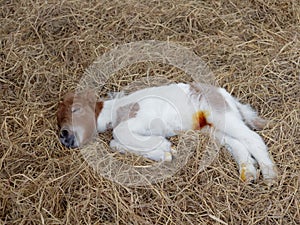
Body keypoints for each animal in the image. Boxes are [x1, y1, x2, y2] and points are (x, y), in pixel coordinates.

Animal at [57, 82, 278, 183]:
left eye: (75, 110)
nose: (64, 136)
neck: (117, 109)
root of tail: (223, 93)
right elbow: (115, 143)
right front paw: (164, 152)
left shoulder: (142, 118)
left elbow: (118, 134)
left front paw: (165, 147)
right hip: (213, 128)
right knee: (239, 143)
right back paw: (249, 173)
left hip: (221, 116)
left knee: (252, 138)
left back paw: (269, 174)